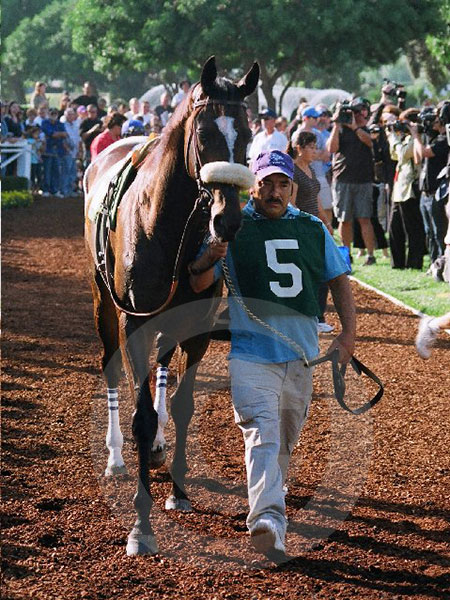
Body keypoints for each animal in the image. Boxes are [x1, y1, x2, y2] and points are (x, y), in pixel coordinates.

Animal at [85, 58, 260, 556]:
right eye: (203, 133)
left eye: (248, 133)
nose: (228, 220)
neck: (164, 224)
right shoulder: (134, 321)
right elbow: (141, 414)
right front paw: (140, 526)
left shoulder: (197, 323)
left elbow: (182, 404)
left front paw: (179, 490)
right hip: (103, 301)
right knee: (110, 367)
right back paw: (116, 456)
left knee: (164, 367)